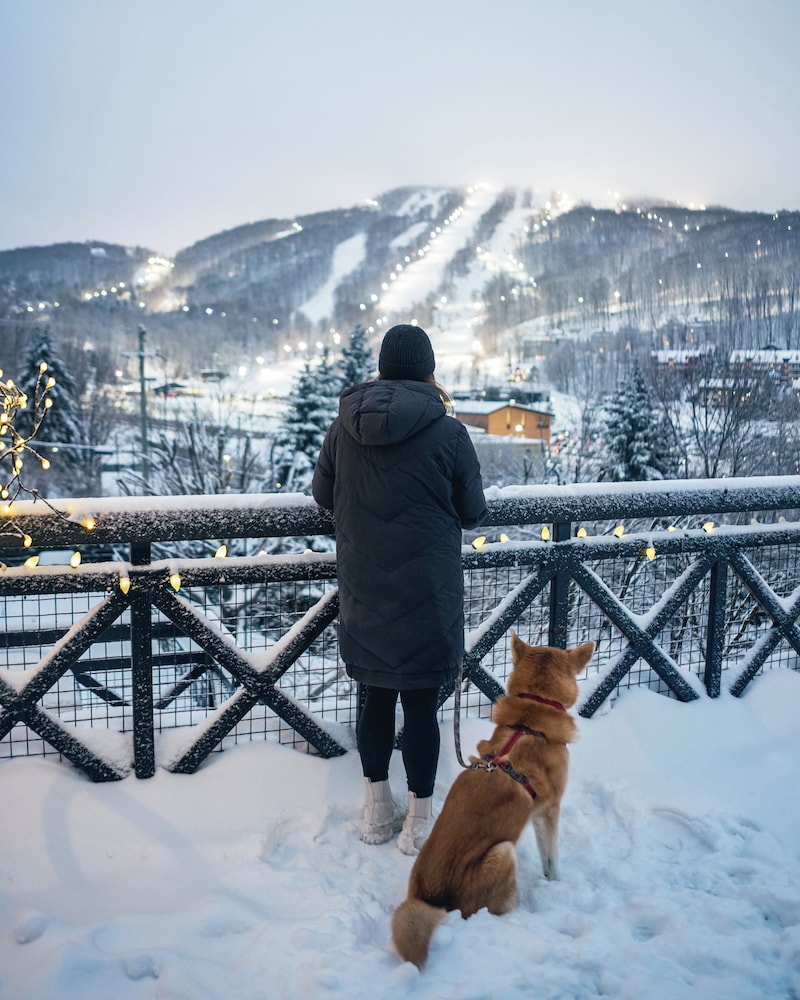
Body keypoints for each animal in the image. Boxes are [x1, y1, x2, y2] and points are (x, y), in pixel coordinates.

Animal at [391, 630, 594, 968]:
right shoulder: (549, 811)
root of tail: (428, 898)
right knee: (499, 908)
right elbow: (551, 860)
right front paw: (556, 884)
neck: (531, 719)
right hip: (502, 852)